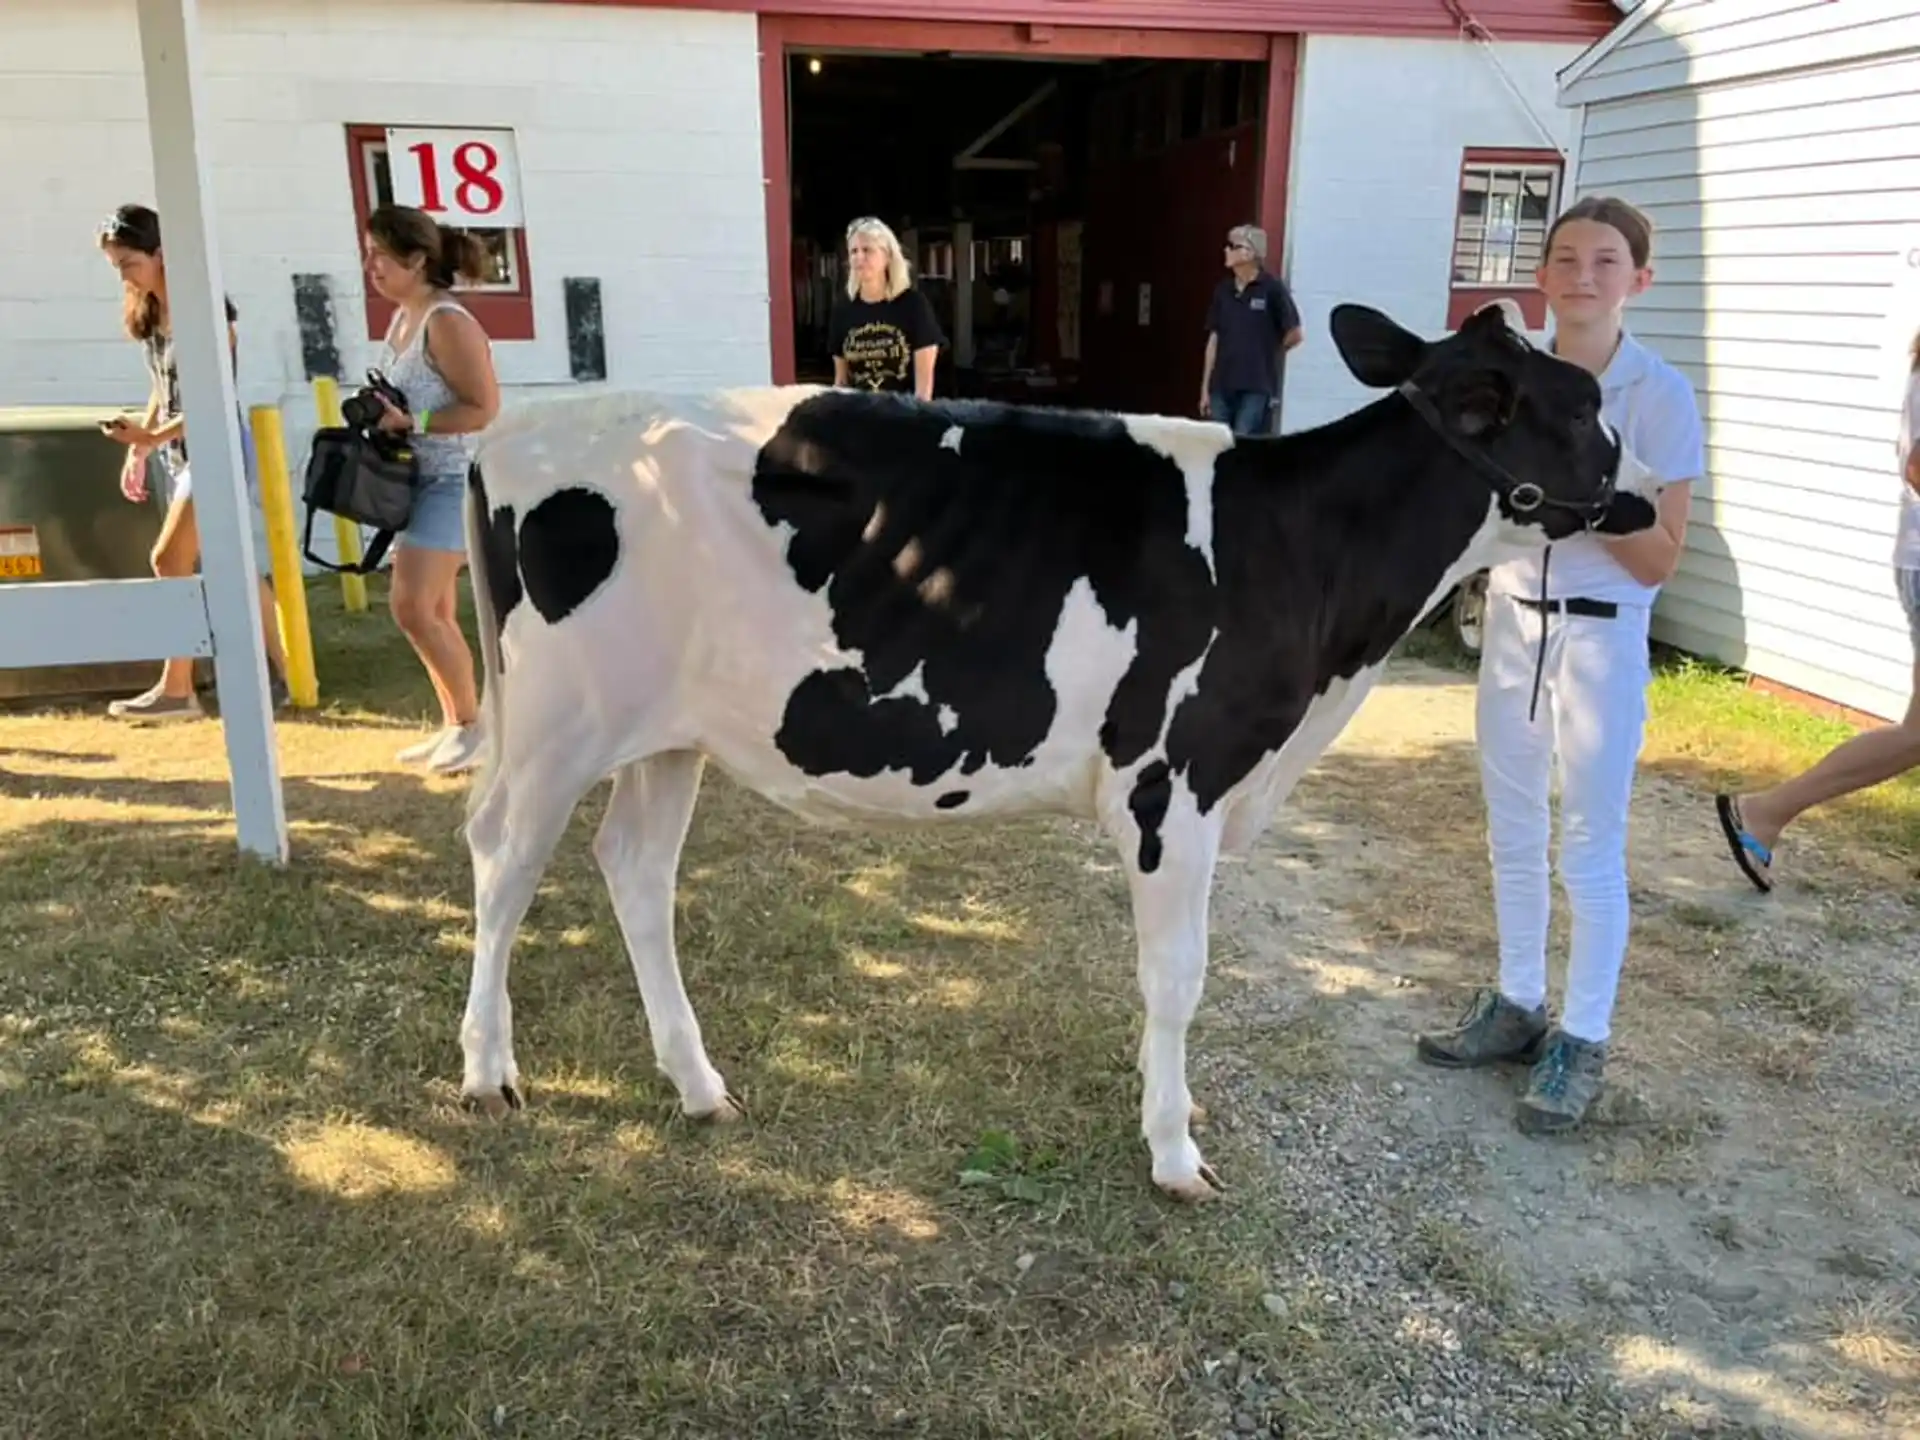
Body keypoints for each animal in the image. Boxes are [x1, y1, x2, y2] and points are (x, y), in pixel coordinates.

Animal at [453, 299, 1660, 1203]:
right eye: (1586, 403)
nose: (1651, 496)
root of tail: (514, 433)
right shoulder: (1175, 786)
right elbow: (1178, 977)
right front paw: (1174, 1150)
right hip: (558, 724)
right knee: (502, 859)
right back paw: (488, 1074)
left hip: (667, 733)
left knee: (635, 869)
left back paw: (699, 1084)